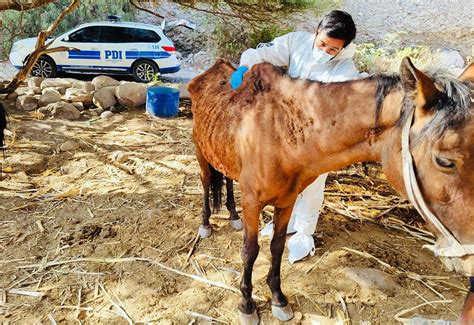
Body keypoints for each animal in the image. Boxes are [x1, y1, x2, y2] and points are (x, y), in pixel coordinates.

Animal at [189, 57, 474, 322]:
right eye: (444, 161)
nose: (471, 259)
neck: (279, 132)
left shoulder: (286, 201)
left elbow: (277, 247)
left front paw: (278, 298)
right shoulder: (252, 203)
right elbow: (250, 252)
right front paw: (247, 305)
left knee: (226, 179)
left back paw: (232, 215)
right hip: (201, 154)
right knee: (205, 183)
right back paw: (205, 224)